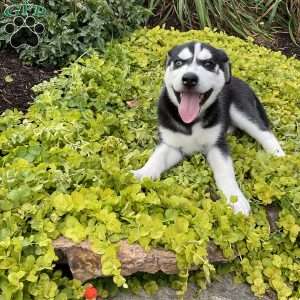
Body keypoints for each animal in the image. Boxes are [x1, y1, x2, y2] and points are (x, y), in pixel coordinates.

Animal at [132, 41, 284, 216]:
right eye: (178, 62)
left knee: (265, 133)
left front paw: (236, 198)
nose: (189, 79)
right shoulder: (171, 144)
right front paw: (142, 173)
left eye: (209, 64)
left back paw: (280, 157)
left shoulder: (217, 145)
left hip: (241, 111)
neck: (191, 122)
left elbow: (225, 172)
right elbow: (157, 158)